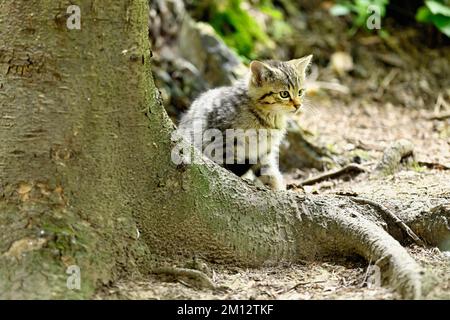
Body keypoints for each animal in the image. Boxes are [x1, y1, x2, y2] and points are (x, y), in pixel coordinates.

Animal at [178, 55, 312, 190]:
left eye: (300, 92)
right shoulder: (221, 141)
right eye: (284, 94)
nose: (298, 105)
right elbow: (228, 167)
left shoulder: (264, 150)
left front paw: (275, 187)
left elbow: (268, 171)